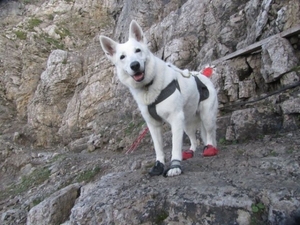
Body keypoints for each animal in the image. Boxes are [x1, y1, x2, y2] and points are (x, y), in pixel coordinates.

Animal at [99, 19, 219, 178]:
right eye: (122, 57)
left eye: (138, 50)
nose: (135, 65)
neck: (148, 86)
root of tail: (203, 76)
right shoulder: (153, 125)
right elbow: (158, 148)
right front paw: (159, 165)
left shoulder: (175, 119)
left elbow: (175, 147)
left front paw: (175, 166)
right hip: (187, 123)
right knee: (194, 139)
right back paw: (190, 152)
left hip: (207, 117)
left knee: (210, 134)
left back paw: (210, 148)